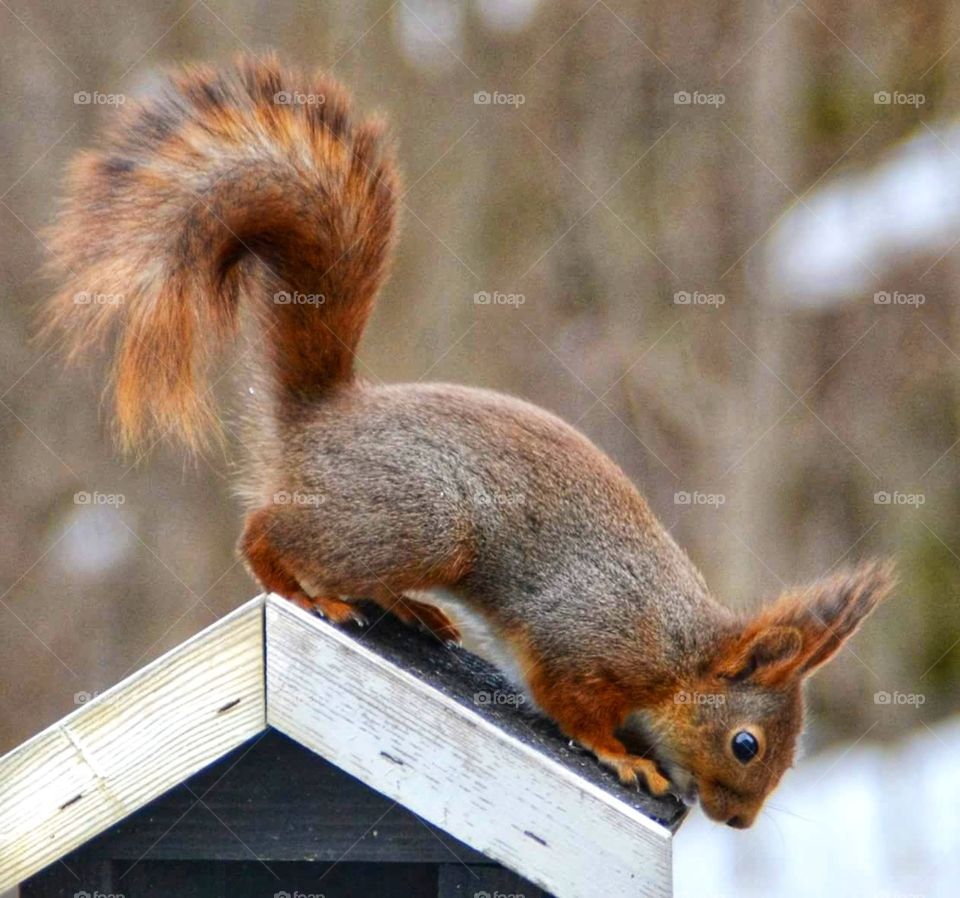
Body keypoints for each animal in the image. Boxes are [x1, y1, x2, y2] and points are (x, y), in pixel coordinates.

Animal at [42, 55, 895, 828]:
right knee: (264, 531)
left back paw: (412, 609)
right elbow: (569, 704)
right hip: (418, 520)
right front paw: (623, 757)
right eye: (747, 744)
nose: (737, 822)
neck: (675, 648)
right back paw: (306, 590)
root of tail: (324, 417)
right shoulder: (582, 639)